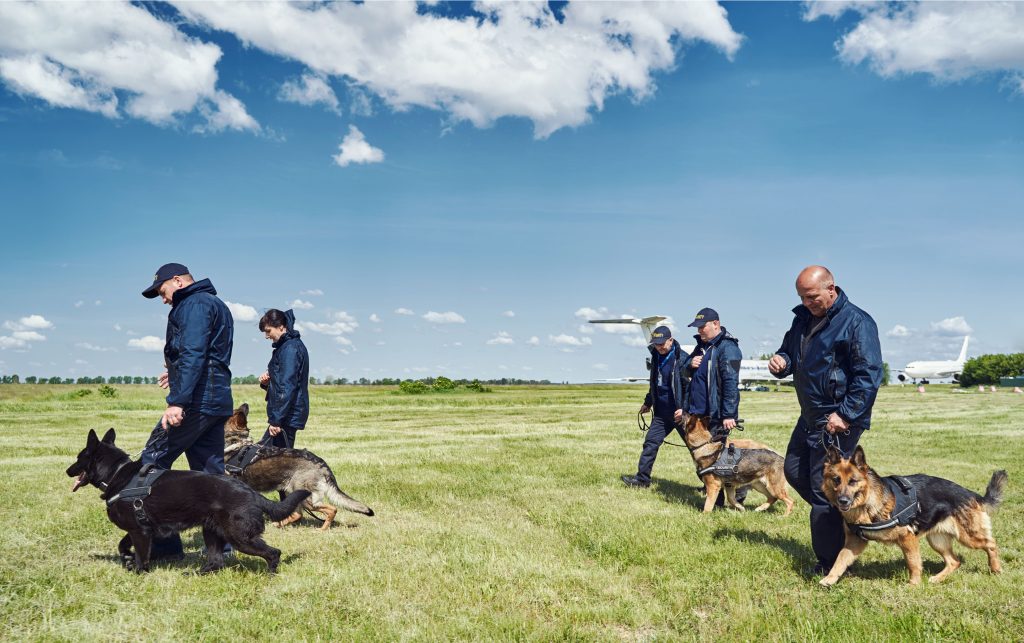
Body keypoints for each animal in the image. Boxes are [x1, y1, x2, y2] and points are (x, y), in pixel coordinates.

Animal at [67, 430, 307, 573]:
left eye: (79, 458)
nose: (67, 470)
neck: (117, 473)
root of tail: (252, 493)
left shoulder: (140, 532)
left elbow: (141, 558)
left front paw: (137, 571)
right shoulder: (140, 529)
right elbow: (122, 544)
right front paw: (126, 557)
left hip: (239, 537)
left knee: (273, 553)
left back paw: (271, 574)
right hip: (212, 532)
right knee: (216, 562)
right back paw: (196, 573)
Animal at [222, 403, 374, 528]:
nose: (245, 404)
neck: (236, 441)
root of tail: (322, 464)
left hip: (306, 497)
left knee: (331, 509)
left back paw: (322, 530)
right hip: (293, 492)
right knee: (298, 514)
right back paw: (279, 524)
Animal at [815, 444, 1007, 585]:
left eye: (853, 481)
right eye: (836, 480)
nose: (843, 501)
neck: (867, 503)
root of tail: (972, 495)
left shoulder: (907, 538)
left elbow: (913, 562)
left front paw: (914, 584)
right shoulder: (854, 542)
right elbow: (840, 559)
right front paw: (829, 579)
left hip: (967, 537)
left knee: (991, 544)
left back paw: (996, 568)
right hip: (937, 540)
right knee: (954, 561)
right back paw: (937, 579)